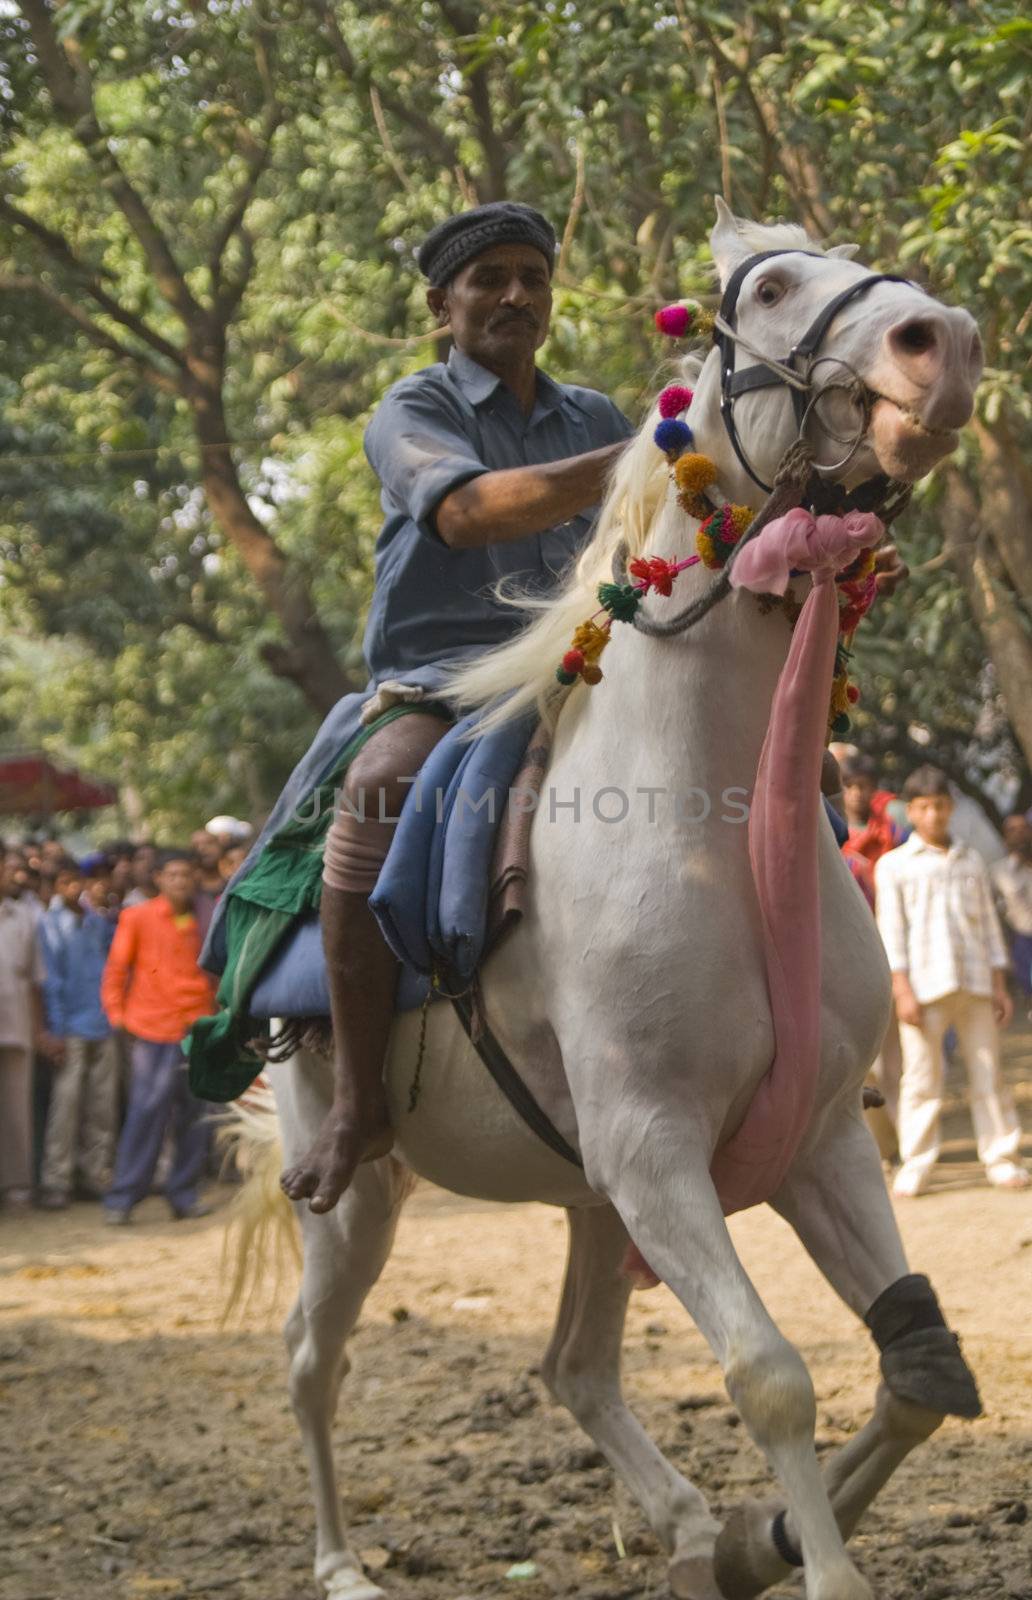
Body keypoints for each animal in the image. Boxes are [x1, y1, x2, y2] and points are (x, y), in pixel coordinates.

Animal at [232, 203, 979, 1600]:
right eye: (776, 285)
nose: (943, 342)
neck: (712, 816)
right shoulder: (651, 1145)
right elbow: (772, 1375)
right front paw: (809, 1554)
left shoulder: (807, 1136)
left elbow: (919, 1367)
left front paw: (763, 1535)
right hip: (362, 1193)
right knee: (313, 1359)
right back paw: (343, 1559)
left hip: (583, 1195)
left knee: (572, 1366)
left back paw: (690, 1526)